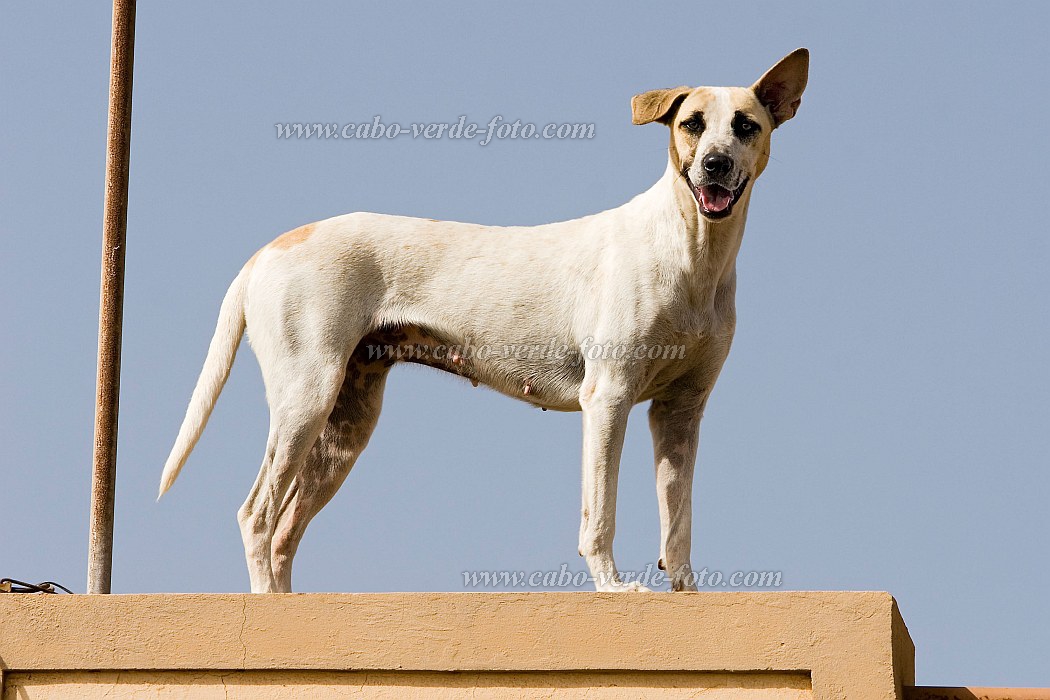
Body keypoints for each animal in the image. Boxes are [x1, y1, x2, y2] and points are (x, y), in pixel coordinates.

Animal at [157, 49, 810, 596]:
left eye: (745, 125)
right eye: (692, 123)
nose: (715, 165)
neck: (690, 249)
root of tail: (267, 251)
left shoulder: (681, 412)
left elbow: (678, 524)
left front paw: (688, 594)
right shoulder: (609, 398)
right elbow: (600, 515)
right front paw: (613, 588)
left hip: (344, 424)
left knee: (284, 531)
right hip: (305, 398)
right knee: (256, 516)